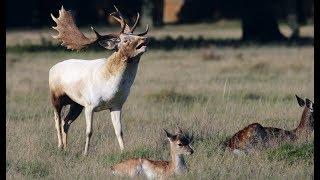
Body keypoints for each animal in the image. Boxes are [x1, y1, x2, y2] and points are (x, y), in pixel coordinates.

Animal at [48, 5, 150, 155]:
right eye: (125, 40)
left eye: (136, 35)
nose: (144, 39)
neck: (110, 87)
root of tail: (52, 68)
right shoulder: (90, 105)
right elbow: (89, 131)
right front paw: (85, 153)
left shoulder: (116, 105)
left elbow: (119, 131)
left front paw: (123, 151)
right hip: (56, 97)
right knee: (57, 121)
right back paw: (60, 146)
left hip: (76, 104)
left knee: (66, 122)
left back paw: (66, 148)